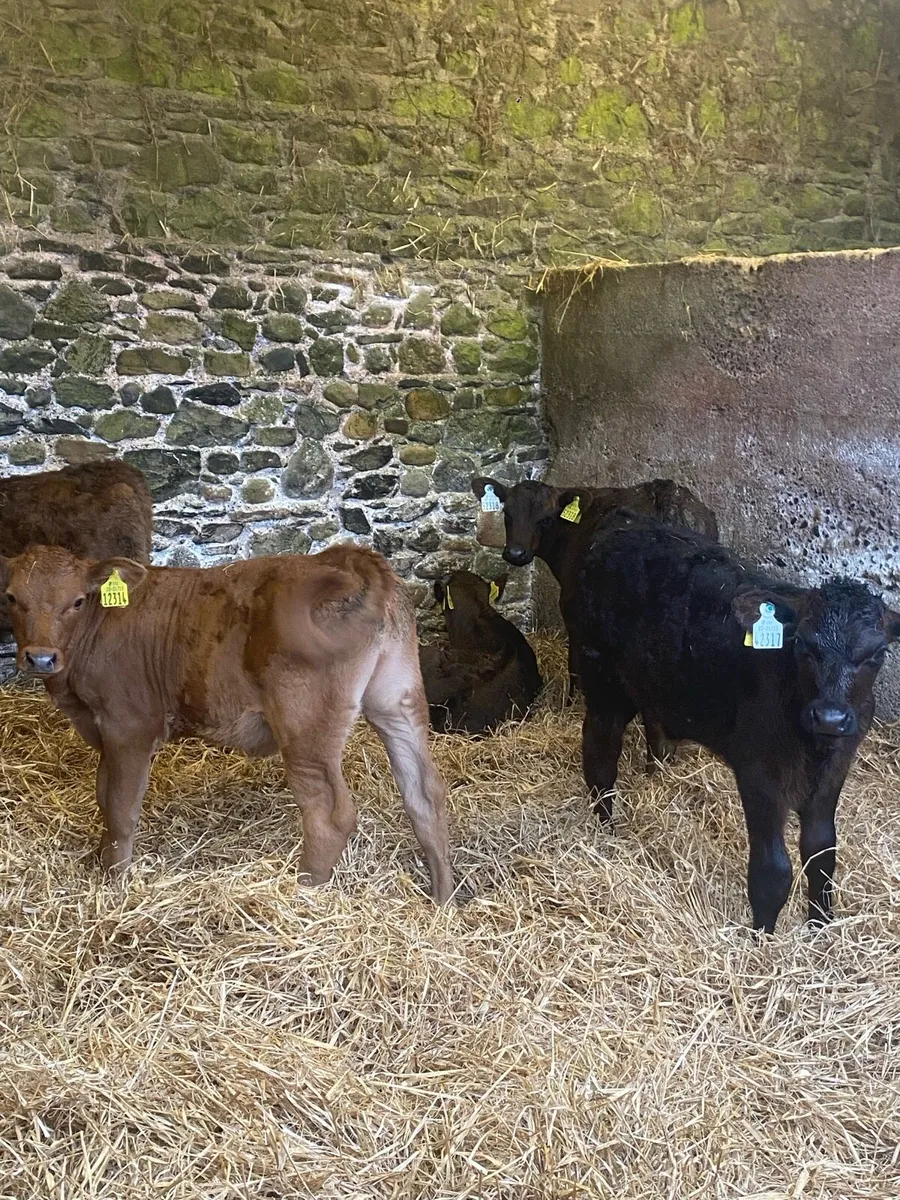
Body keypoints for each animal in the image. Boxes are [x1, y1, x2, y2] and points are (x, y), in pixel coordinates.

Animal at [0, 543, 455, 902]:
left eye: (77, 601)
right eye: (11, 597)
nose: (40, 657)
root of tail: (345, 560)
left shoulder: (129, 727)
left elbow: (120, 806)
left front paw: (114, 882)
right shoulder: (104, 732)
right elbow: (102, 795)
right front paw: (101, 861)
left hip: (306, 723)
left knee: (330, 813)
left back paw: (304, 891)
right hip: (397, 699)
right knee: (425, 792)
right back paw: (442, 899)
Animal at [472, 475, 718, 771]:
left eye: (545, 519)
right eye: (507, 514)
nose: (516, 553)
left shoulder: (574, 615)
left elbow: (574, 667)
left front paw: (570, 708)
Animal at [578, 510, 900, 932]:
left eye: (877, 654)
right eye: (802, 645)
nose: (829, 717)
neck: (813, 747)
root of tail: (622, 528)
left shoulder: (834, 772)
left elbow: (822, 853)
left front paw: (821, 925)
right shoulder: (759, 774)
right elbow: (773, 870)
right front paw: (762, 936)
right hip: (603, 677)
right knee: (600, 751)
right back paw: (606, 831)